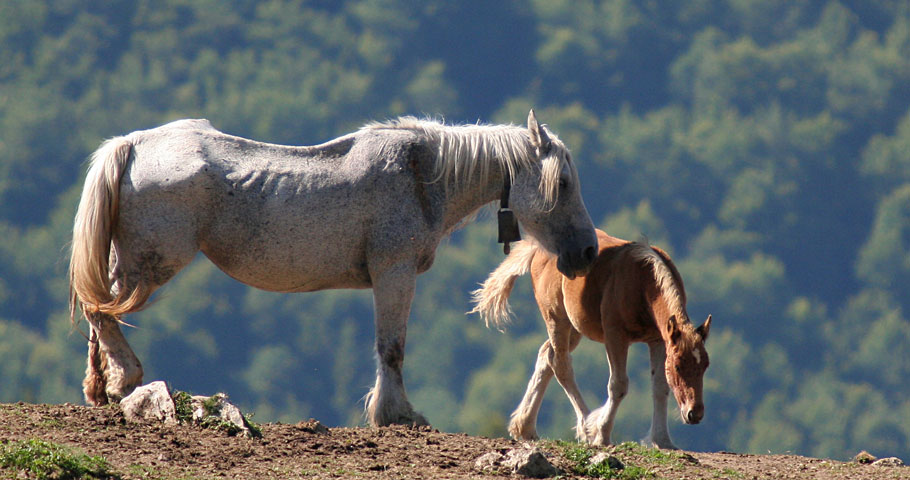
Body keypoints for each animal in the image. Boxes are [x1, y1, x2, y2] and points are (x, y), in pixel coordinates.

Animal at [68, 110, 598, 427]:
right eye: (563, 183)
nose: (588, 252)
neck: (422, 176)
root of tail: (133, 143)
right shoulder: (394, 271)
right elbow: (392, 349)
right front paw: (396, 414)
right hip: (150, 263)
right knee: (103, 312)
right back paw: (127, 378)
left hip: (126, 261)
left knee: (101, 313)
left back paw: (103, 387)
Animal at [471, 229, 710, 448]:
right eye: (679, 366)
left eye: (705, 366)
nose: (695, 413)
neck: (642, 283)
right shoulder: (615, 336)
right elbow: (618, 385)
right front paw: (601, 434)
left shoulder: (658, 340)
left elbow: (660, 386)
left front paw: (663, 440)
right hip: (556, 318)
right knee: (561, 365)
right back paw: (586, 425)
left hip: (574, 327)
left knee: (546, 355)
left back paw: (526, 427)